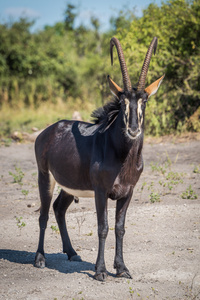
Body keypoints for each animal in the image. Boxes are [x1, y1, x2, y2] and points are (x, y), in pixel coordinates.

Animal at [34, 36, 164, 280]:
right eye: (122, 102)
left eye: (144, 101)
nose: (133, 130)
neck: (122, 156)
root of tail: (47, 132)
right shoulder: (101, 191)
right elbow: (103, 227)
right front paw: (101, 271)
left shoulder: (127, 192)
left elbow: (120, 228)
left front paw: (122, 269)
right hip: (44, 177)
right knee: (44, 215)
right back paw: (39, 259)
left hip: (69, 186)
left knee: (58, 208)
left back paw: (72, 253)